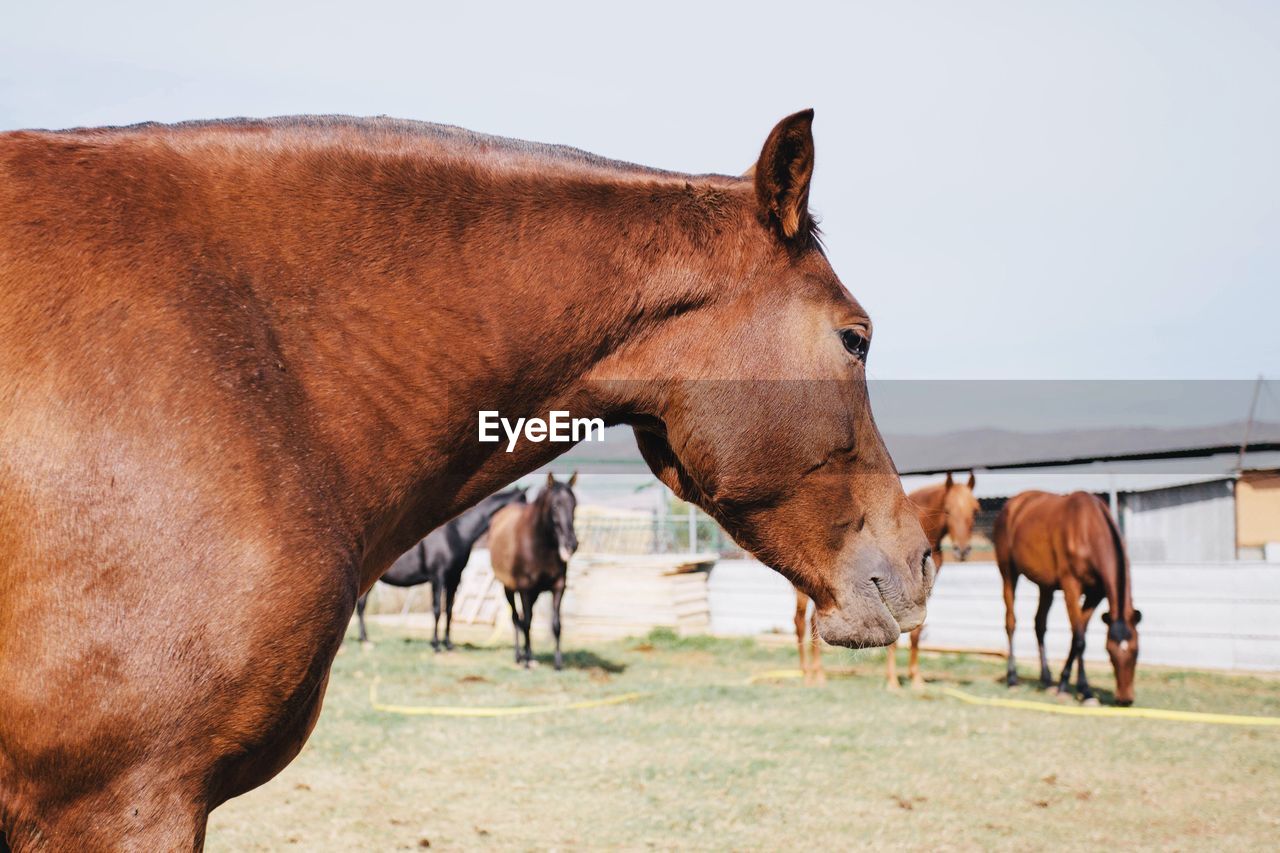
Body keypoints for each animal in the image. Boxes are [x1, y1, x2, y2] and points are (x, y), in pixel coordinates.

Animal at [486, 471, 578, 666]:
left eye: (574, 505)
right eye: (555, 506)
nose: (571, 544)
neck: (539, 547)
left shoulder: (558, 586)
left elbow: (556, 625)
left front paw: (558, 662)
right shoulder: (525, 589)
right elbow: (527, 623)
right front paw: (528, 660)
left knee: (521, 617)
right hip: (509, 588)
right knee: (516, 618)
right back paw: (519, 656)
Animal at [788, 471, 977, 686]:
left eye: (974, 510)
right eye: (948, 510)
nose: (962, 551)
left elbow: (916, 632)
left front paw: (916, 678)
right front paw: (892, 681)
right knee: (802, 621)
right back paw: (809, 673)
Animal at [988, 491, 1141, 701]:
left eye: (1136, 651)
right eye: (1109, 651)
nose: (1124, 700)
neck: (1088, 528)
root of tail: (1011, 505)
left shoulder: (1095, 595)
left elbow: (1078, 635)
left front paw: (1066, 684)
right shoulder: (1071, 587)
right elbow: (1080, 639)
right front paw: (1083, 690)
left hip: (1045, 586)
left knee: (1039, 624)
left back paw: (1046, 679)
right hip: (1008, 573)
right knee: (1010, 622)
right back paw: (1012, 678)